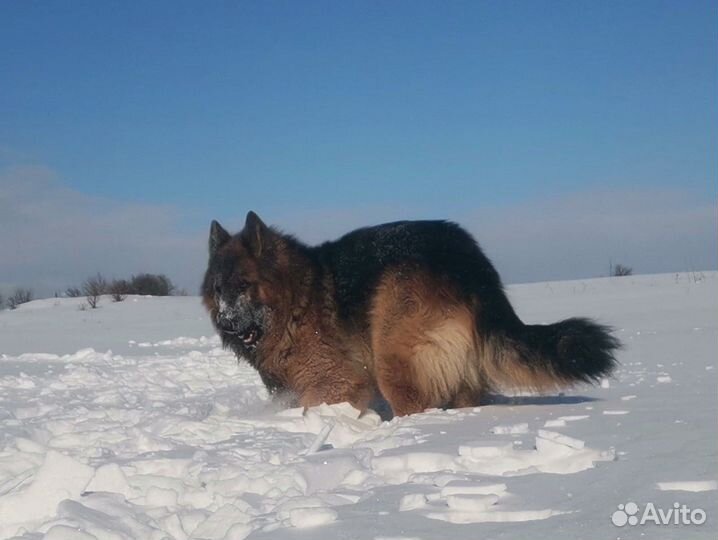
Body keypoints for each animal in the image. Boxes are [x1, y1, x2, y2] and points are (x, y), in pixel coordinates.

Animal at [202, 213, 620, 416]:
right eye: (219, 290)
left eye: (244, 285)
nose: (226, 322)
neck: (296, 298)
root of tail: (469, 260)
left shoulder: (337, 382)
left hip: (393, 356)